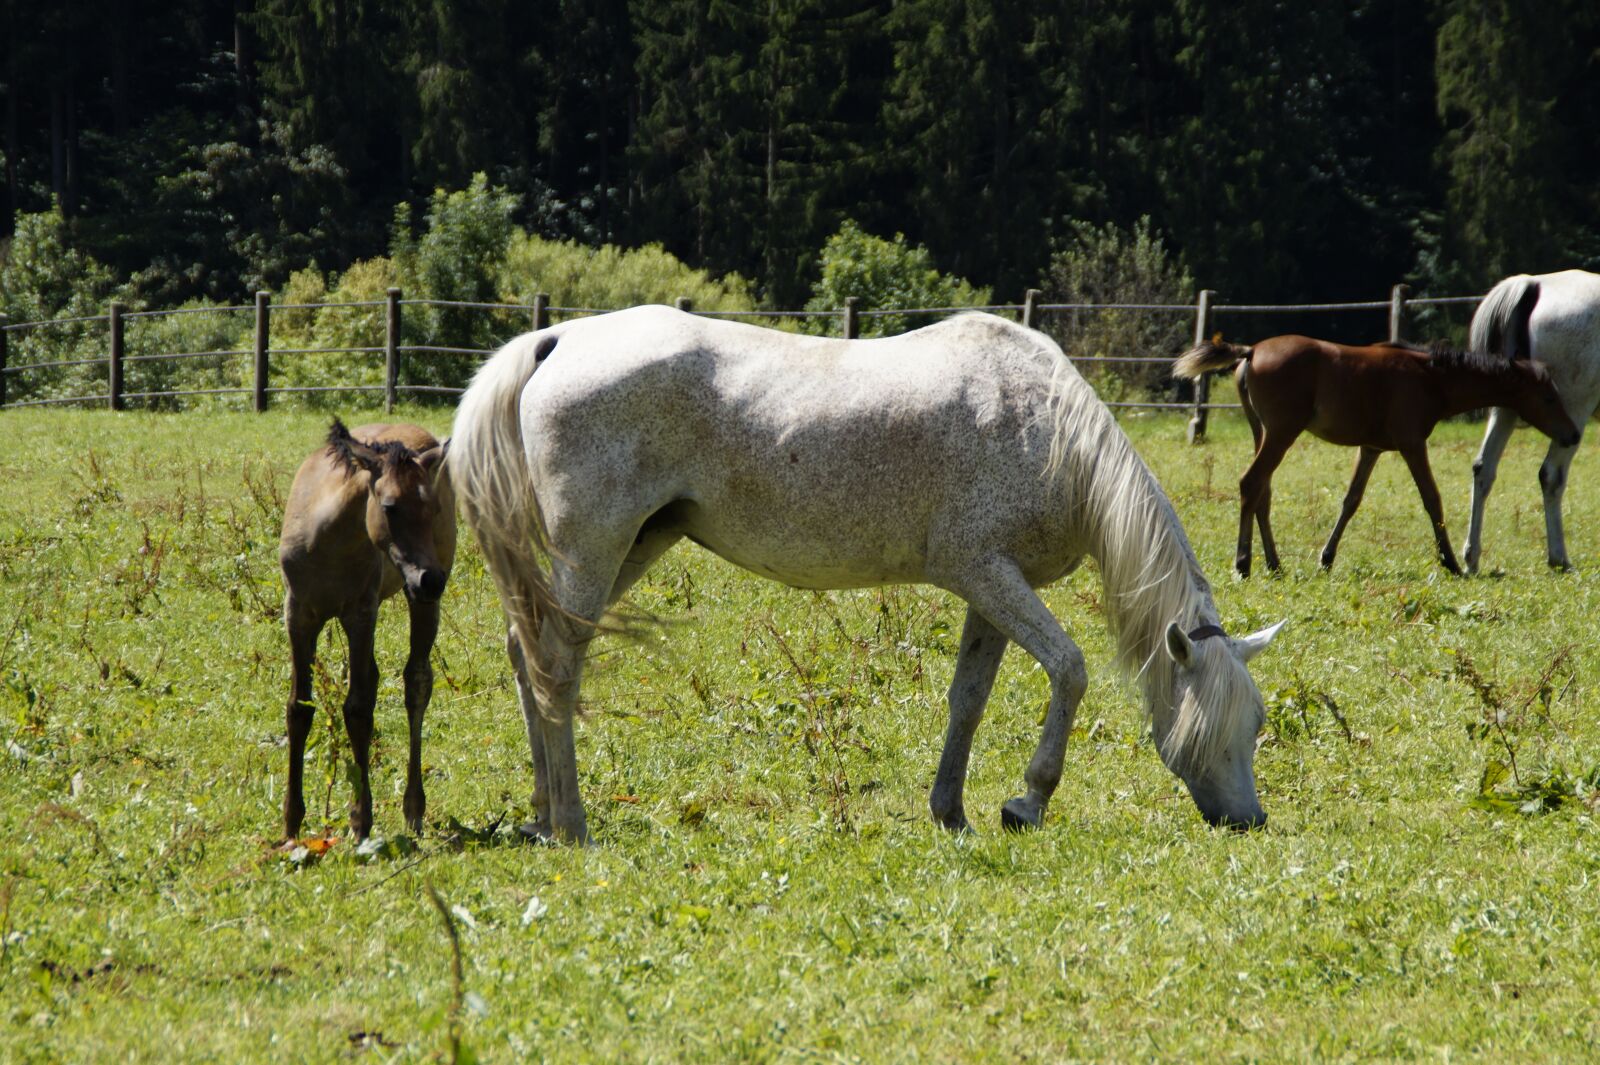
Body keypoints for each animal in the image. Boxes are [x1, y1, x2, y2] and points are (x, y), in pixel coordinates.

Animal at [278, 419, 455, 841]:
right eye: (389, 506)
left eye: (434, 507)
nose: (431, 580)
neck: (327, 541)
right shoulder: (298, 614)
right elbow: (299, 708)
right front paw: (291, 824)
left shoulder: (361, 613)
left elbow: (357, 709)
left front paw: (361, 821)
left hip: (415, 603)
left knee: (417, 682)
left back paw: (414, 809)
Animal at [449, 305, 1285, 845]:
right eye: (1216, 724)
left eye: (1258, 724)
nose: (1249, 820)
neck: (1049, 433)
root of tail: (556, 338)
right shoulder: (986, 574)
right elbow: (1070, 669)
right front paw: (1028, 801)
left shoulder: (990, 588)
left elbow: (969, 699)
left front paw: (952, 811)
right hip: (596, 547)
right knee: (558, 665)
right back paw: (572, 824)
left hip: (636, 544)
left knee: (528, 651)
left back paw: (540, 812)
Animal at [1173, 335, 1579, 578]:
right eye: (1547, 397)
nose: (1572, 434)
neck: (1430, 377)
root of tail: (1252, 351)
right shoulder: (1413, 444)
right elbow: (1432, 499)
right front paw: (1450, 561)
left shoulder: (1371, 449)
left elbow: (1351, 500)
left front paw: (1327, 557)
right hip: (1281, 432)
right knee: (1251, 483)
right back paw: (1243, 563)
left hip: (1262, 432)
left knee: (1263, 493)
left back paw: (1274, 563)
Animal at [1463, 270, 1600, 573]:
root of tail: (1532, 284)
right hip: (1571, 417)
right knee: (1550, 474)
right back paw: (1559, 557)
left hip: (1504, 410)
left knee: (1483, 468)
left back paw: (1471, 557)